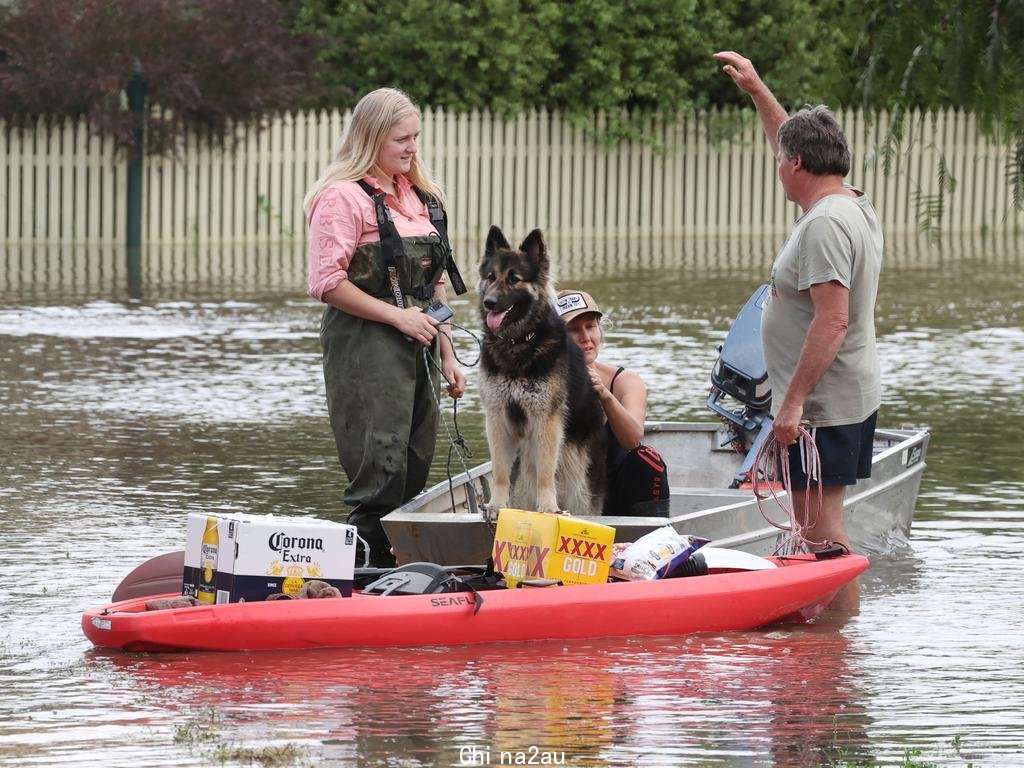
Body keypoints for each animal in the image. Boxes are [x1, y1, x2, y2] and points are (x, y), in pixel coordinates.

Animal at [479, 228, 606, 518]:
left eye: (514, 279)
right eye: (490, 277)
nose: (489, 303)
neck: (517, 343)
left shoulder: (546, 419)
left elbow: (546, 473)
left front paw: (548, 509)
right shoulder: (497, 416)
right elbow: (500, 470)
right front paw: (496, 505)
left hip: (577, 479)